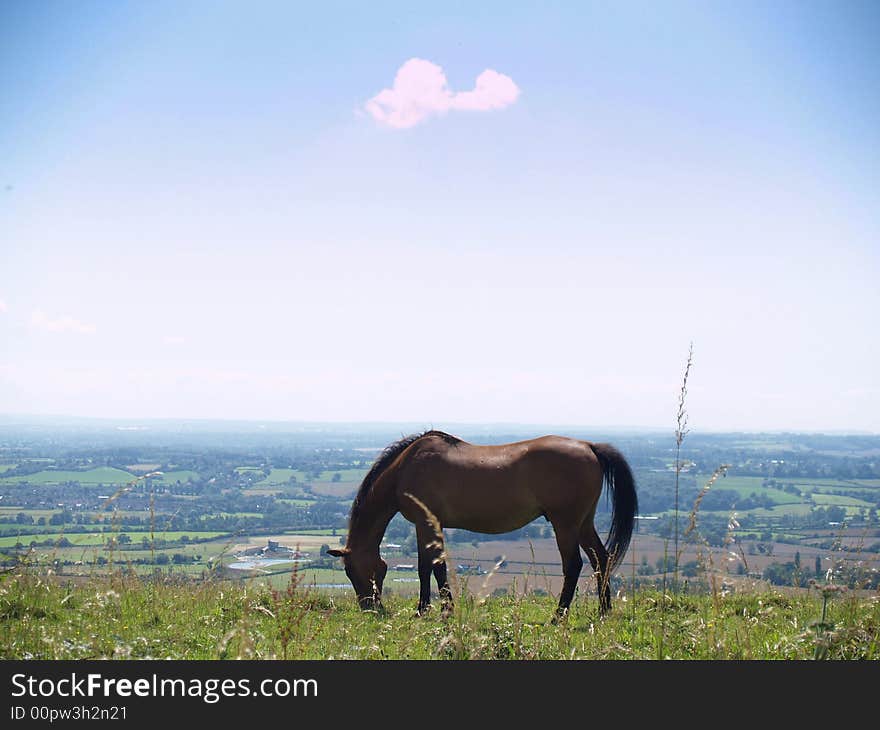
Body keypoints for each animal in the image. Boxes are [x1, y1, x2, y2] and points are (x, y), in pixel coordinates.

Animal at [326, 430, 636, 616]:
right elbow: (427, 566)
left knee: (574, 566)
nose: (368, 607)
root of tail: (589, 447)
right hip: (583, 523)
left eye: (350, 571)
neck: (405, 468)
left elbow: (434, 568)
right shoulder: (425, 525)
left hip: (565, 524)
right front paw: (428, 609)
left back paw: (558, 616)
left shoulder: (427, 523)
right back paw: (603, 611)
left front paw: (440, 610)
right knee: (601, 559)